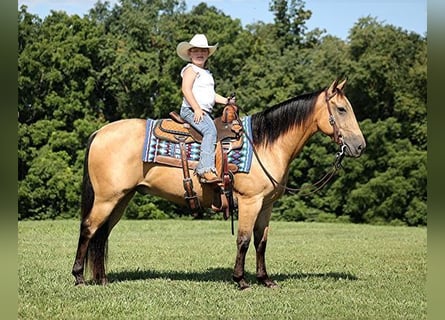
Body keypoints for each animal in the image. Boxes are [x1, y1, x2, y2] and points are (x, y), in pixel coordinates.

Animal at [72, 79, 364, 290]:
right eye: (341, 109)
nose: (360, 146)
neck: (265, 144)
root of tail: (100, 132)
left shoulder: (266, 206)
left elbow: (261, 242)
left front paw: (265, 279)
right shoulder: (249, 201)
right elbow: (244, 240)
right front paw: (241, 280)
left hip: (121, 199)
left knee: (102, 234)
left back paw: (102, 279)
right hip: (107, 198)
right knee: (88, 229)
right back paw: (79, 277)